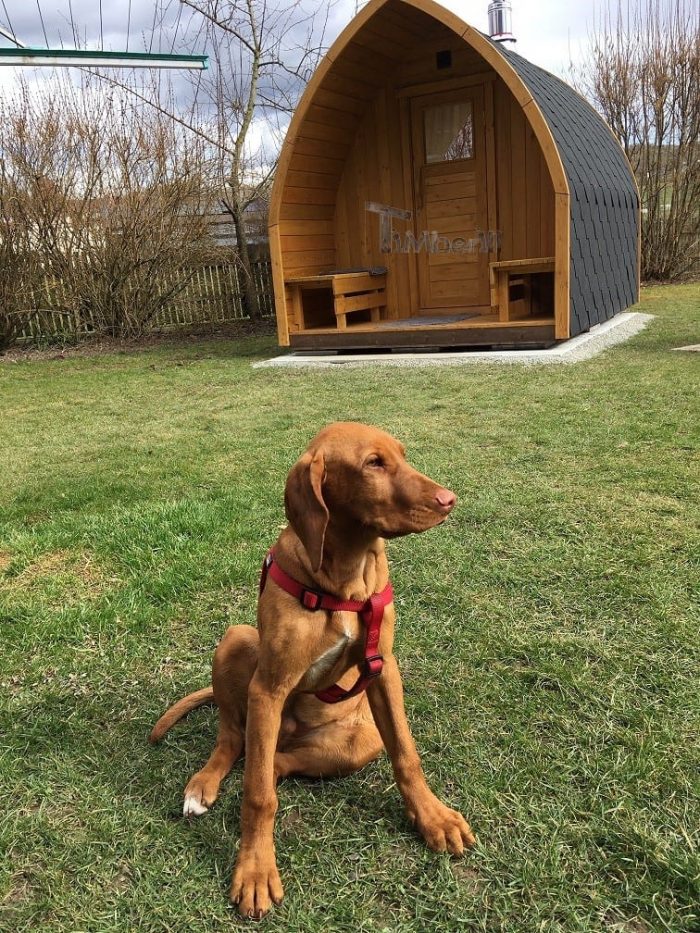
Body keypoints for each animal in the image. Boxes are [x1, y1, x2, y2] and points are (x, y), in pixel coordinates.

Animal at [150, 422, 474, 916]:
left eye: (402, 455)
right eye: (373, 463)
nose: (448, 499)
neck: (346, 575)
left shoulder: (384, 669)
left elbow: (406, 753)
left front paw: (433, 817)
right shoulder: (268, 688)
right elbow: (257, 798)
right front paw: (255, 870)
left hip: (360, 739)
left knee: (274, 762)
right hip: (237, 640)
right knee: (234, 741)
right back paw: (204, 784)